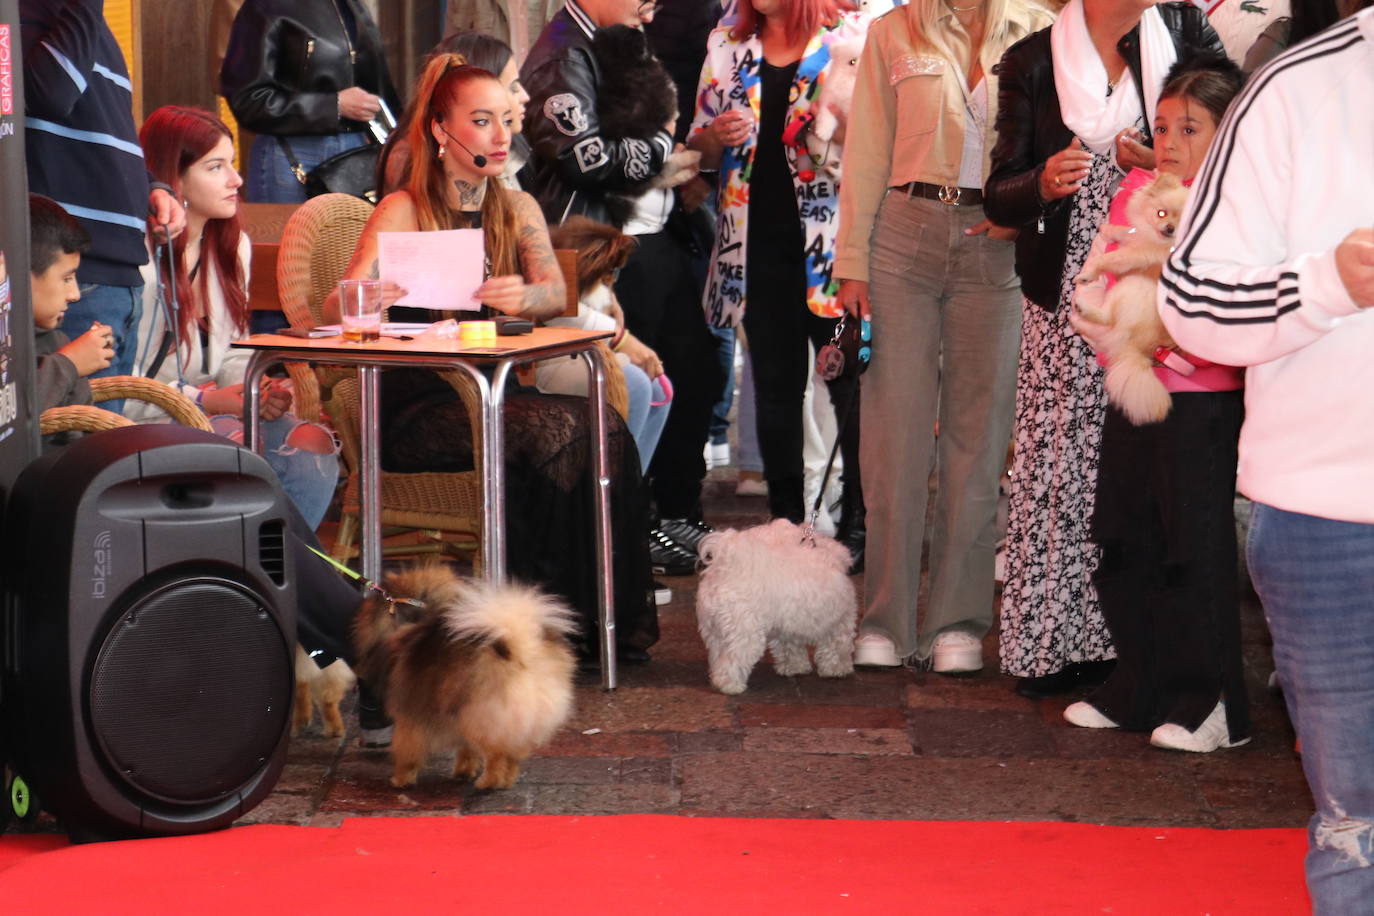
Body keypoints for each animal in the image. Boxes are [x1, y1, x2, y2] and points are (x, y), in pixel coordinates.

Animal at [351, 563, 577, 791]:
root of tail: (521, 651)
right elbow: (466, 749)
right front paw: (463, 771)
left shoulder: (410, 716)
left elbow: (408, 751)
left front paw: (401, 778)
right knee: (512, 755)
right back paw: (505, 780)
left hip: (483, 716)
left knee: (496, 754)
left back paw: (488, 782)